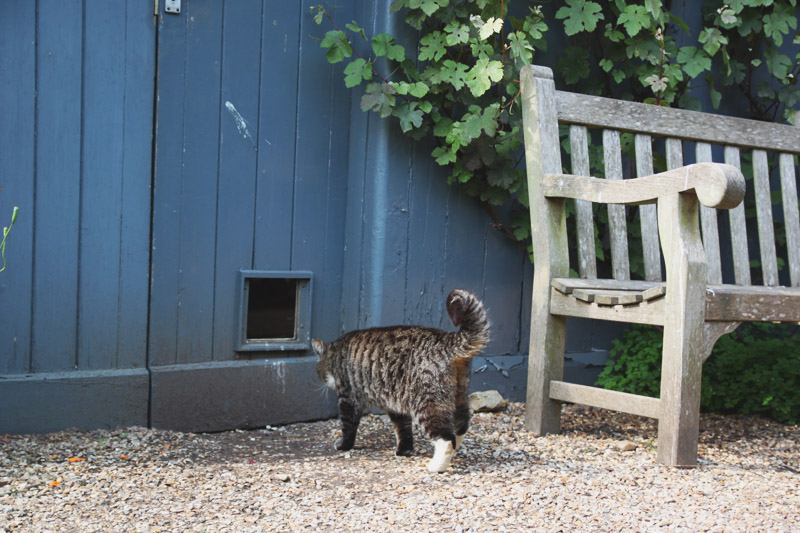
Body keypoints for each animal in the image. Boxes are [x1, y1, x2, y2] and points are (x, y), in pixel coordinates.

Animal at [310, 288, 488, 472]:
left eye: (318, 371)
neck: (337, 352)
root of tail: (448, 339)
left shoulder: (348, 399)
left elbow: (348, 427)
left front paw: (344, 445)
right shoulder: (396, 405)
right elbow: (403, 429)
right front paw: (404, 450)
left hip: (428, 404)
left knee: (445, 437)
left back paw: (437, 465)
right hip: (458, 395)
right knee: (461, 426)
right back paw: (455, 449)